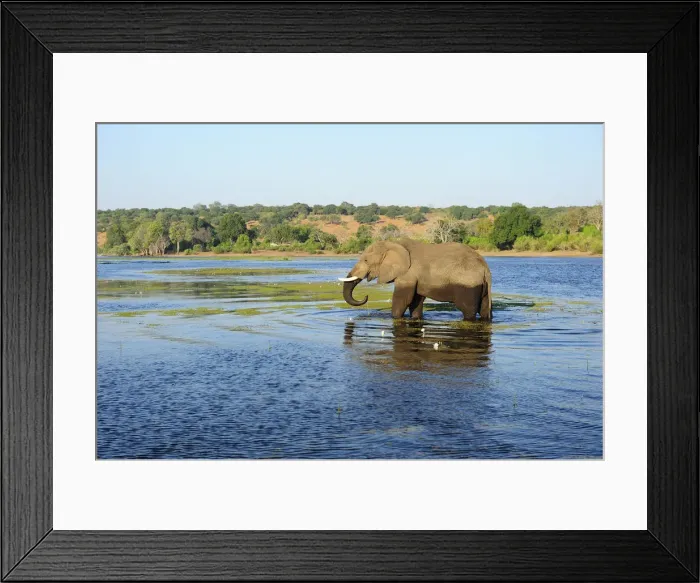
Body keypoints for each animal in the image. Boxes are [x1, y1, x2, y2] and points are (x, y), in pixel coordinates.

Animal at [338, 238, 493, 321]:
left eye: (365, 260)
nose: (366, 296)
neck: (394, 243)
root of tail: (485, 267)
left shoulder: (408, 273)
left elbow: (402, 299)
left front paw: (395, 318)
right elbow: (415, 301)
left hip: (468, 285)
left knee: (467, 309)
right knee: (484, 309)